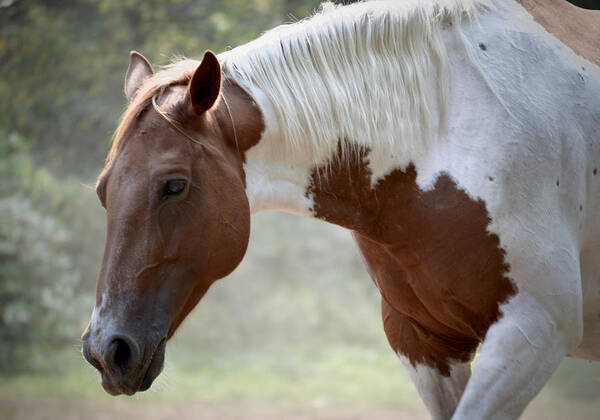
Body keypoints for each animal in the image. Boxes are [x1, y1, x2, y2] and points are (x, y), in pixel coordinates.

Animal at [81, 1, 600, 418]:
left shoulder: (533, 332)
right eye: (103, 190)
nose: (107, 350)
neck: (448, 129)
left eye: (174, 186)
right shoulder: (423, 342)